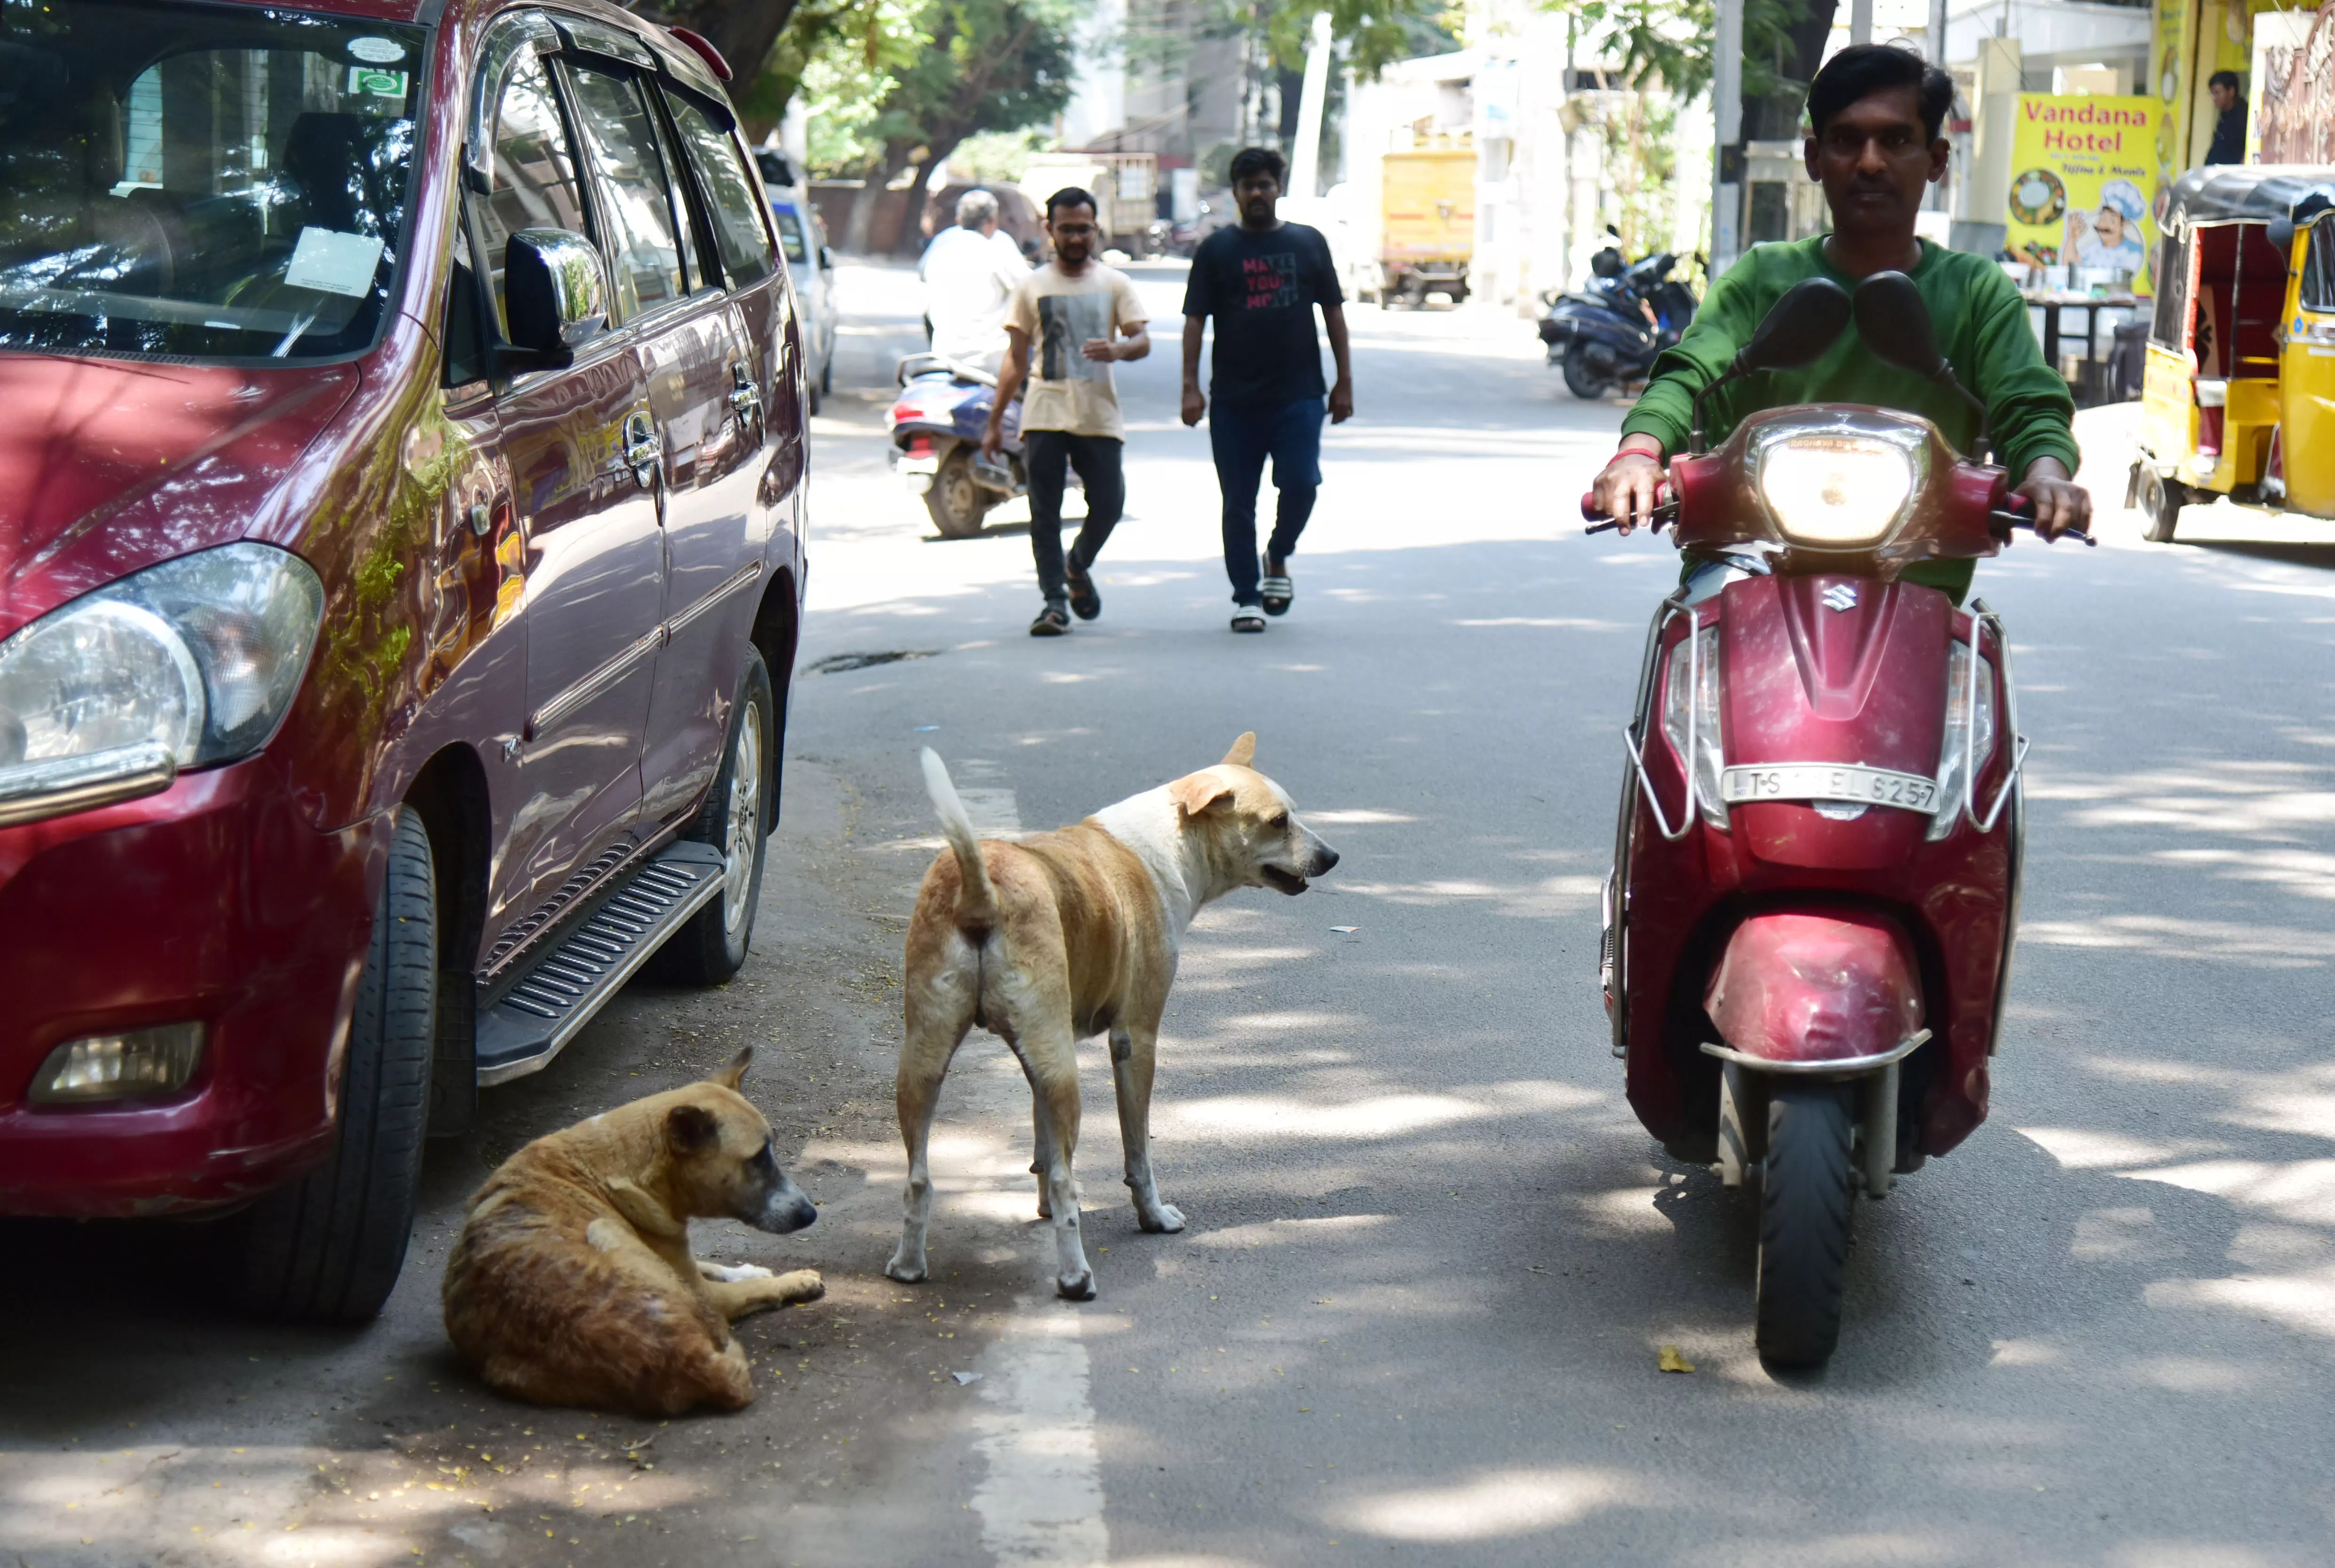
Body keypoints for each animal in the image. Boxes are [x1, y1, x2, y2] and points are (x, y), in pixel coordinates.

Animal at [441, 1047, 826, 1420]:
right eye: (758, 1159)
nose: (810, 1214)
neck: (622, 1166)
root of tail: (691, 1363)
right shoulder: (701, 1288)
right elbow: (749, 1287)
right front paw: (792, 1280)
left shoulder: (677, 1256)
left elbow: (712, 1264)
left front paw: (748, 1269)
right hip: (611, 1234)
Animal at [887, 738, 1345, 1299]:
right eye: (1279, 821)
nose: (1332, 857)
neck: (1169, 843)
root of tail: (980, 889)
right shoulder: (1135, 1040)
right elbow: (1136, 1153)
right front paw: (1154, 1217)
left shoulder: (1039, 1058)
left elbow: (1044, 1145)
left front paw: (1041, 1202)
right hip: (1064, 1074)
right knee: (1068, 1182)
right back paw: (1075, 1277)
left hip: (927, 1062)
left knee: (918, 1179)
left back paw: (909, 1266)